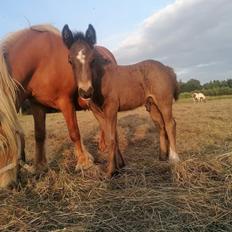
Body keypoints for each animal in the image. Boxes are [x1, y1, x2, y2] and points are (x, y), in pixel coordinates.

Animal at [0, 24, 116, 187]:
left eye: (3, 145)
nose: (5, 184)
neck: (41, 60)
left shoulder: (65, 102)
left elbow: (74, 133)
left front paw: (84, 163)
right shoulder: (37, 105)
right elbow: (39, 135)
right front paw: (40, 166)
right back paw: (103, 145)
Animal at [62, 24, 180, 177]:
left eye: (92, 60)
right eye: (70, 61)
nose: (86, 92)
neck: (101, 81)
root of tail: (167, 68)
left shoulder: (111, 108)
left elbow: (112, 138)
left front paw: (110, 171)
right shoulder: (98, 112)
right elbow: (110, 137)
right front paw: (119, 167)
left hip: (164, 101)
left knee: (170, 123)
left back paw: (174, 158)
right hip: (152, 105)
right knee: (160, 125)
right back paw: (162, 156)